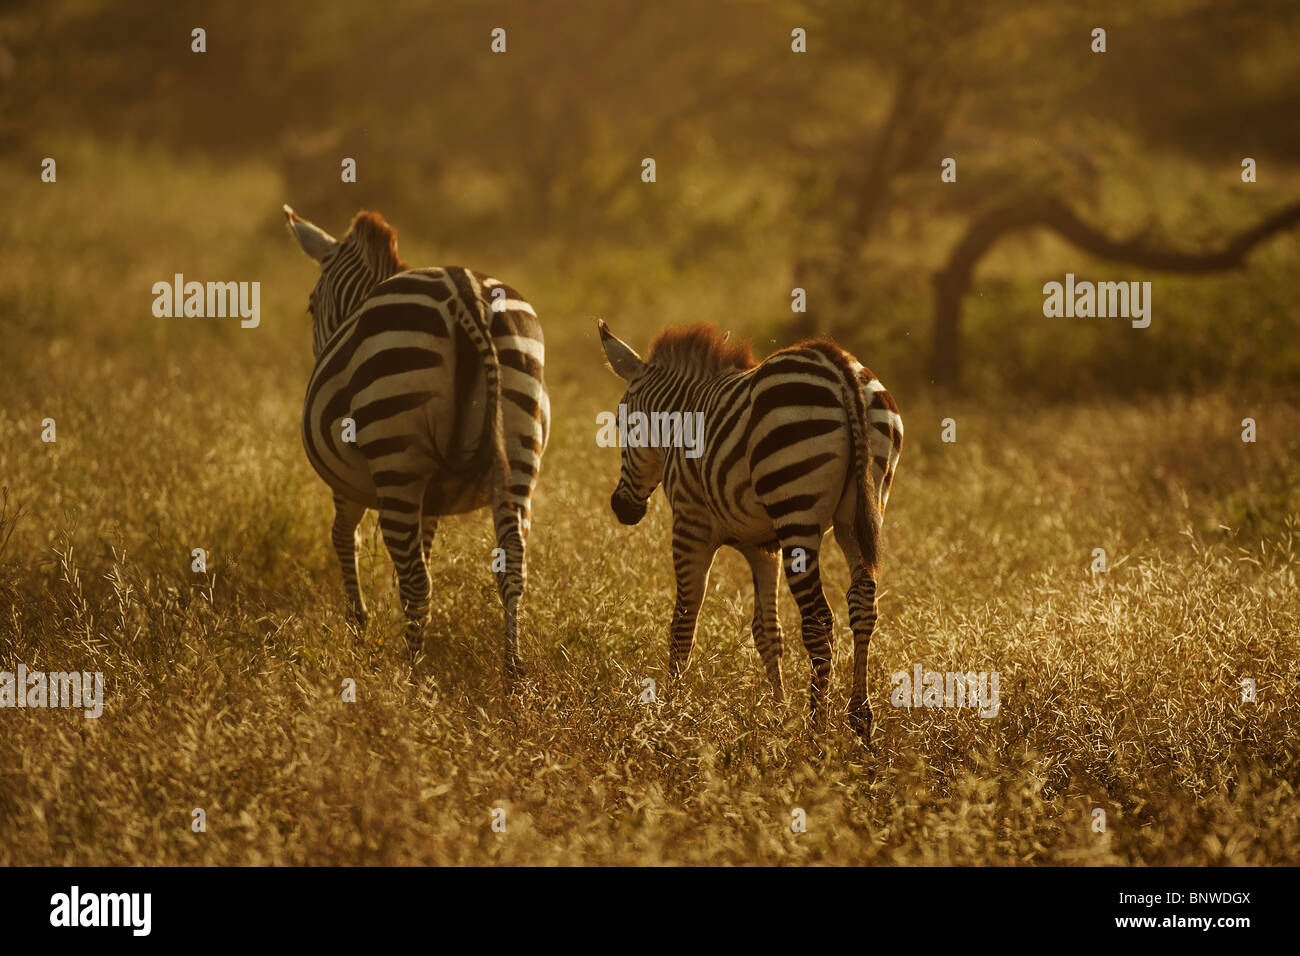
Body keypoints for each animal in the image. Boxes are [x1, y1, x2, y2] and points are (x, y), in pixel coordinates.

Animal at [284, 205, 548, 676]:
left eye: (312, 305)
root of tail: (466, 294)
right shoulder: (432, 499)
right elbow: (421, 548)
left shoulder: (346, 485)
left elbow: (344, 538)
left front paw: (358, 625)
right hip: (520, 451)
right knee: (512, 566)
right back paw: (513, 674)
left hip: (396, 456)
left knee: (416, 583)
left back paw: (411, 673)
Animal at [598, 321, 904, 733]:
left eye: (619, 423)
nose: (621, 508)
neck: (681, 418)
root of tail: (841, 367)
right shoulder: (763, 546)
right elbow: (767, 632)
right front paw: (779, 712)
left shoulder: (690, 526)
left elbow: (682, 625)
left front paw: (669, 712)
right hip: (857, 515)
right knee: (862, 606)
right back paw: (859, 719)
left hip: (796, 510)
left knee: (819, 622)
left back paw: (817, 728)